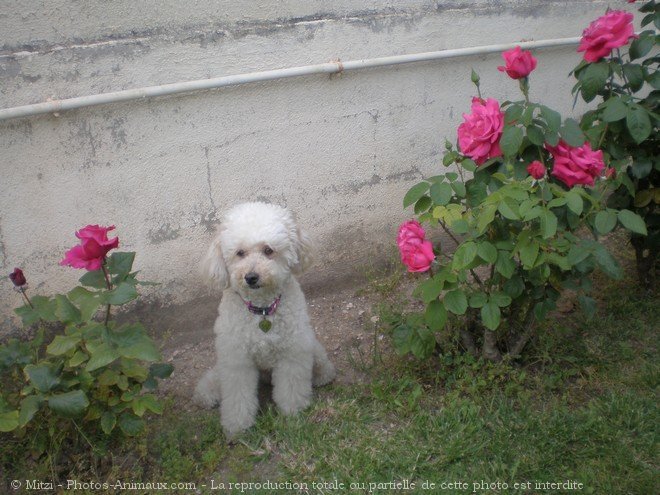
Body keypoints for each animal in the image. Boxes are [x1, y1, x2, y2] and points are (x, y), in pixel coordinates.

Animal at [192, 202, 336, 438]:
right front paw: (237, 427)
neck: (262, 311)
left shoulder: (292, 353)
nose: (251, 277)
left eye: (268, 250)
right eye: (240, 253)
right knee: (216, 377)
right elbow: (237, 396)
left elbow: (291, 387)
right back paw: (206, 393)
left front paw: (294, 413)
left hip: (311, 347)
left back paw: (323, 376)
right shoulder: (237, 360)